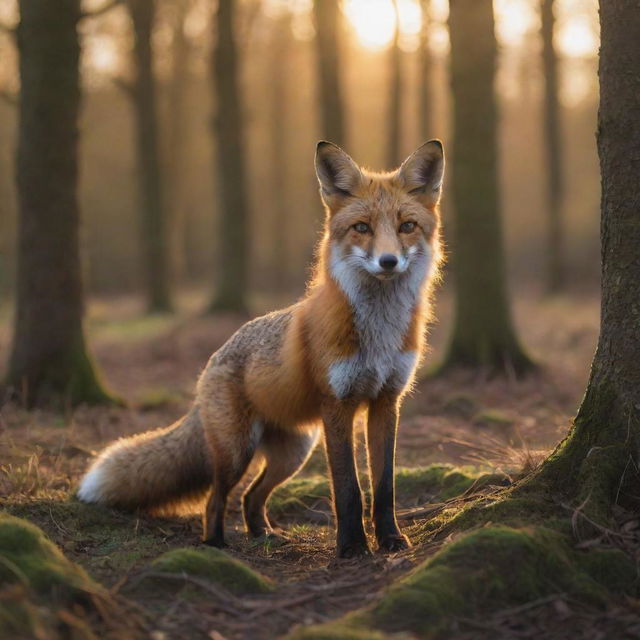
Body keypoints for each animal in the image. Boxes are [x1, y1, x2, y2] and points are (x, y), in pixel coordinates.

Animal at [77, 139, 442, 556]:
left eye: (407, 226)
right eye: (362, 228)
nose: (388, 261)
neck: (379, 333)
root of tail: (210, 363)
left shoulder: (386, 401)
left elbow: (384, 487)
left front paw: (391, 539)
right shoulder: (338, 405)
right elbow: (348, 489)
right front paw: (352, 547)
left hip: (294, 454)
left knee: (252, 496)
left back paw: (262, 533)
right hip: (238, 451)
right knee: (215, 499)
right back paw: (216, 544)